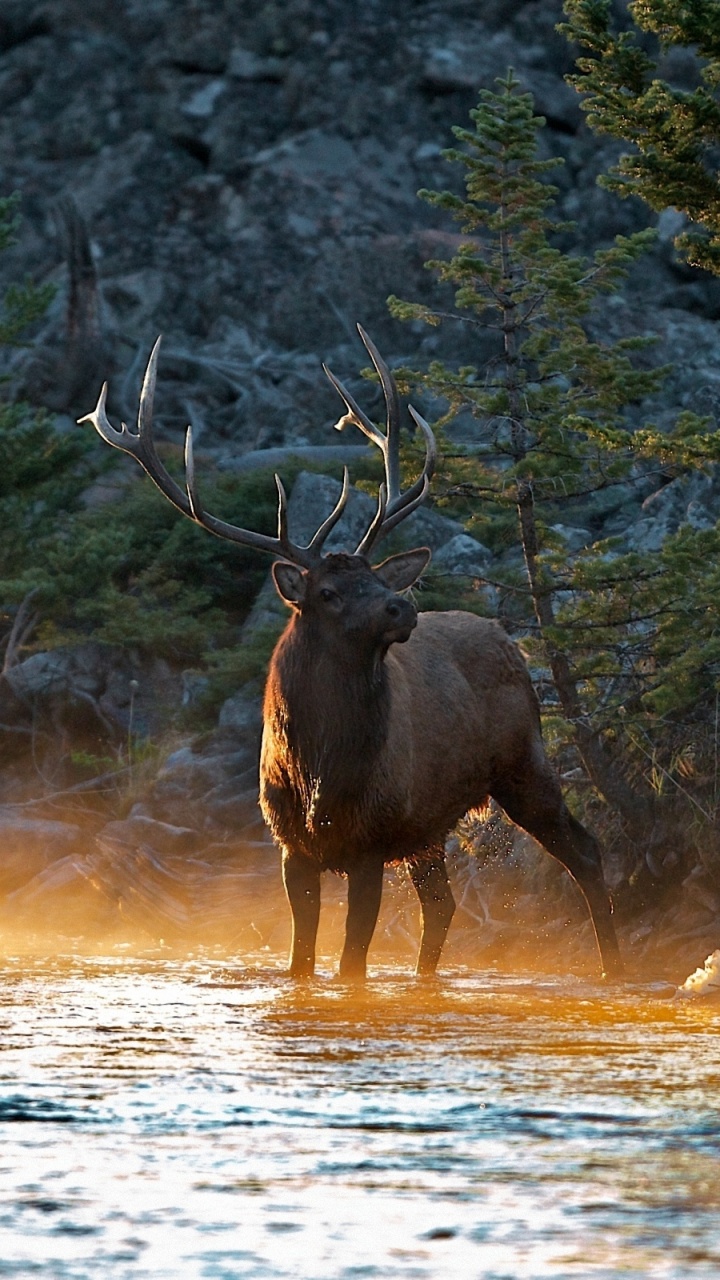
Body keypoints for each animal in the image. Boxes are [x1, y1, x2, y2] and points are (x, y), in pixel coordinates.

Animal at [79, 326, 624, 983]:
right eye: (329, 592)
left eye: (376, 578)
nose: (401, 606)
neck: (320, 771)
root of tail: (508, 640)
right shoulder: (291, 846)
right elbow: (302, 961)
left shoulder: (370, 841)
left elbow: (351, 964)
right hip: (428, 824)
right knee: (442, 905)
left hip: (523, 760)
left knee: (585, 850)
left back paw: (614, 969)